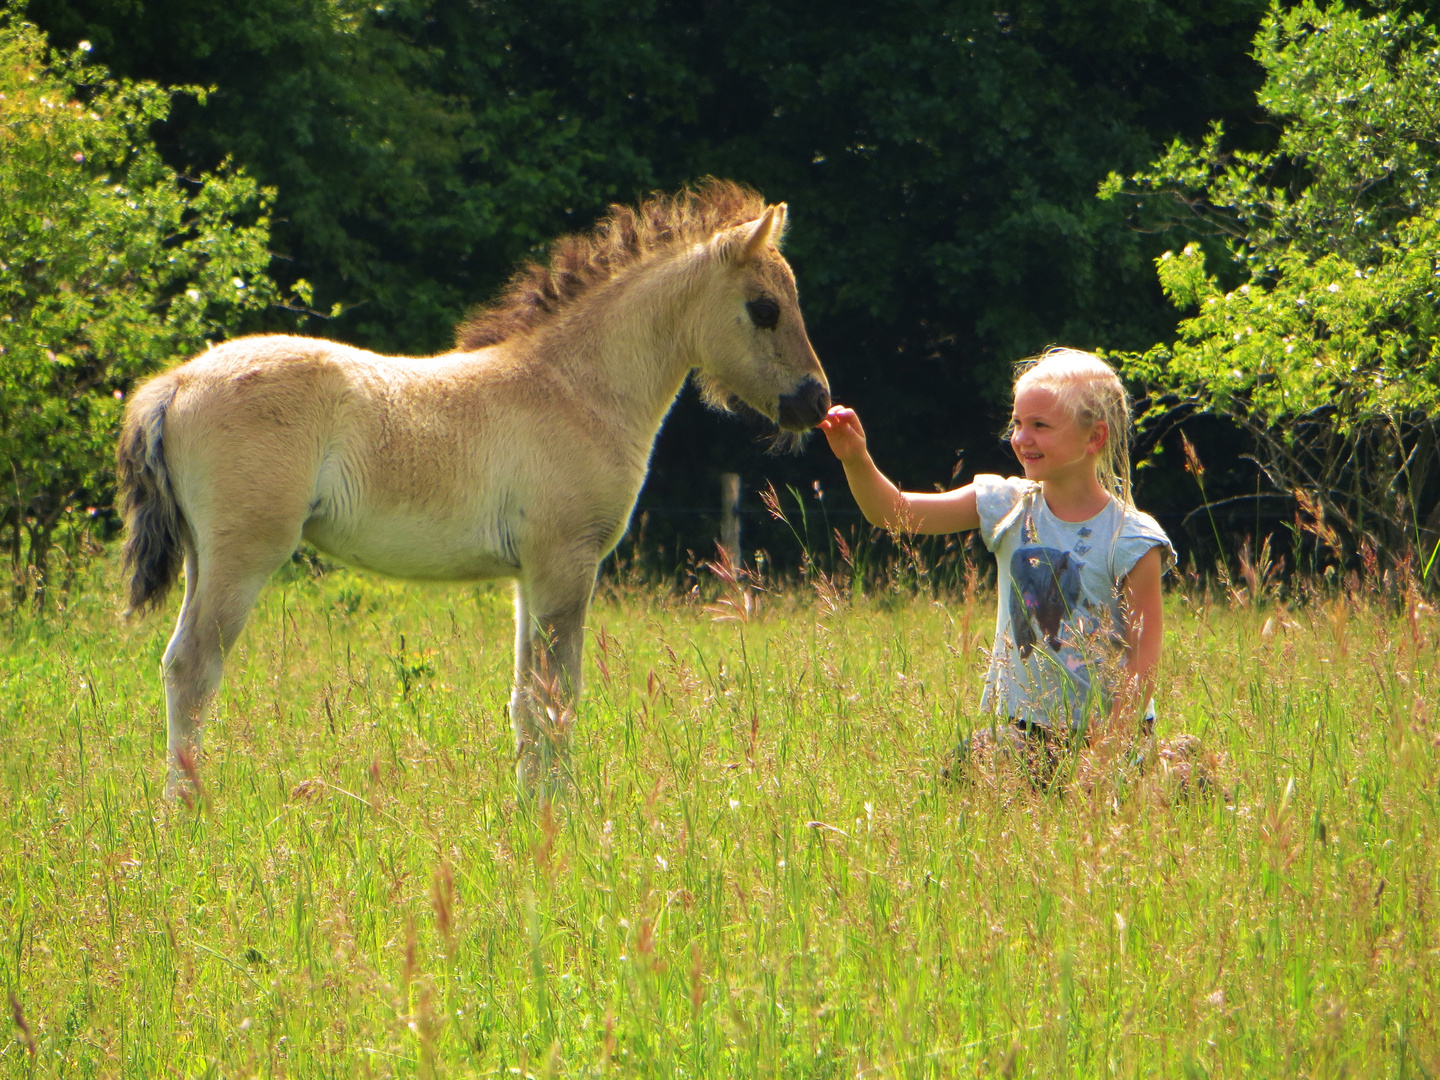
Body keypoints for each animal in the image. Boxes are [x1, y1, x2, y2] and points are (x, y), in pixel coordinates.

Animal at [120, 182, 835, 800]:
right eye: (765, 308)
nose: (815, 401)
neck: (575, 389)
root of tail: (176, 383)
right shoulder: (566, 562)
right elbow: (556, 697)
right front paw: (560, 815)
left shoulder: (530, 576)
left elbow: (525, 700)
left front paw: (529, 808)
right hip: (244, 555)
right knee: (192, 669)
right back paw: (187, 813)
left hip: (203, 557)